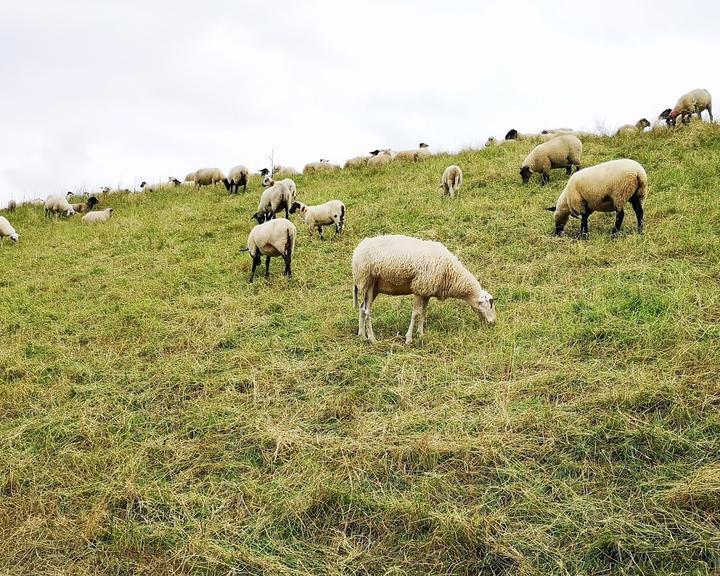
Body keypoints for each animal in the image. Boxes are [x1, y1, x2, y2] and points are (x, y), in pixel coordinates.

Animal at [352, 235, 498, 344]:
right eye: (490, 305)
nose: (493, 323)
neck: (450, 272)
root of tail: (357, 251)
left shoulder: (427, 291)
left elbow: (423, 312)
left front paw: (421, 334)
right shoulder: (419, 288)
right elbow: (415, 314)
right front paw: (409, 338)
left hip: (374, 288)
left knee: (362, 307)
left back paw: (362, 335)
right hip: (367, 281)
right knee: (367, 311)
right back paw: (372, 339)